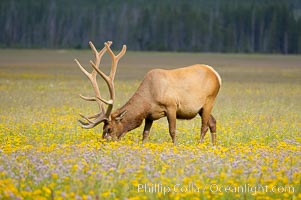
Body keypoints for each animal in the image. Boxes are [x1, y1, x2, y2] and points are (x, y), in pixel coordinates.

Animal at [74, 41, 220, 144]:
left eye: (109, 128)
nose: (103, 142)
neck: (149, 98)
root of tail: (216, 74)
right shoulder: (149, 115)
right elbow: (145, 134)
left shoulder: (171, 106)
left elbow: (172, 131)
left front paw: (175, 146)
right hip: (201, 108)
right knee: (213, 122)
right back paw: (213, 146)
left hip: (209, 100)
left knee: (204, 126)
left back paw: (200, 144)